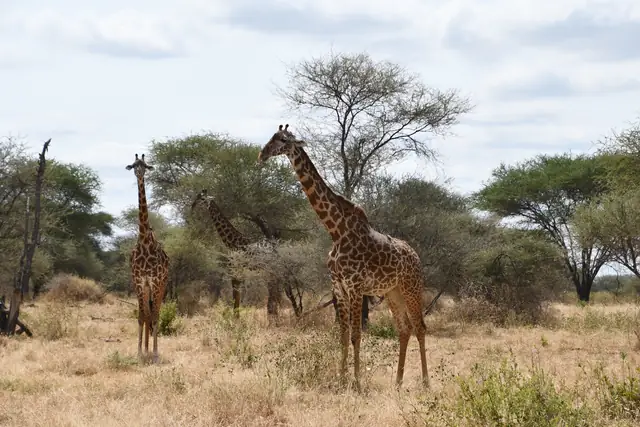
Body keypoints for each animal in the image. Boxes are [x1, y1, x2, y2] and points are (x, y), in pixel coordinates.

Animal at [191, 189, 282, 320]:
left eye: (202, 199)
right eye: (197, 197)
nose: (192, 206)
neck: (232, 243)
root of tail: (275, 250)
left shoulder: (234, 271)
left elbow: (235, 298)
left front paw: (235, 320)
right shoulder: (238, 273)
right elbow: (237, 298)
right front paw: (237, 319)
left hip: (270, 270)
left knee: (274, 292)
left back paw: (273, 318)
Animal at [257, 124, 429, 391]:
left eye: (283, 140)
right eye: (271, 137)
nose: (262, 154)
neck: (336, 230)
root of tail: (416, 256)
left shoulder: (355, 286)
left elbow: (357, 335)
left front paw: (356, 382)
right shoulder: (338, 286)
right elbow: (343, 334)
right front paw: (341, 379)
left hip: (411, 287)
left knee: (420, 327)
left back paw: (425, 382)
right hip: (393, 292)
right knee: (404, 328)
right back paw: (398, 382)